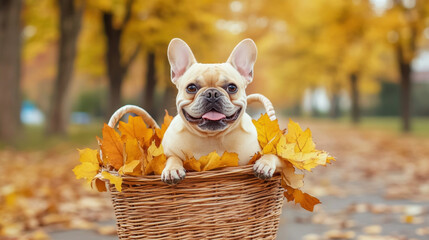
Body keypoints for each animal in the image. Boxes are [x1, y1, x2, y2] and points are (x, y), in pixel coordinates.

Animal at [160, 38, 280, 184]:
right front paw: (172, 169)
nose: (212, 93)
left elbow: (274, 155)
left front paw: (264, 164)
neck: (212, 137)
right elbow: (172, 157)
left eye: (232, 87)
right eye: (191, 88)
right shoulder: (168, 152)